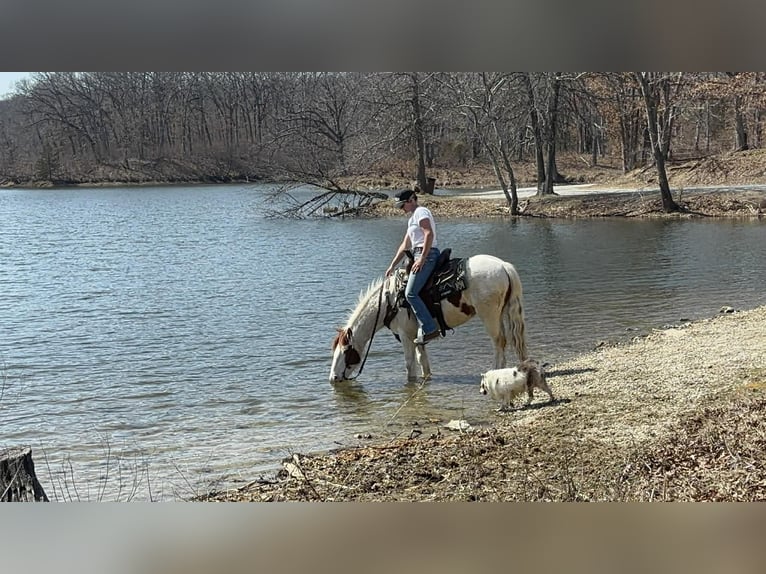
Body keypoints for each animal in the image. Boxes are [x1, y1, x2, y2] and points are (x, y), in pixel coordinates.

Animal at [329, 254, 528, 383]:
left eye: (346, 351)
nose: (333, 378)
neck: (389, 300)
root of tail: (504, 266)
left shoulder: (406, 336)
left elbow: (410, 365)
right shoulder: (418, 337)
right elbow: (423, 361)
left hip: (489, 316)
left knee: (499, 342)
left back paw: (494, 371)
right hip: (502, 313)